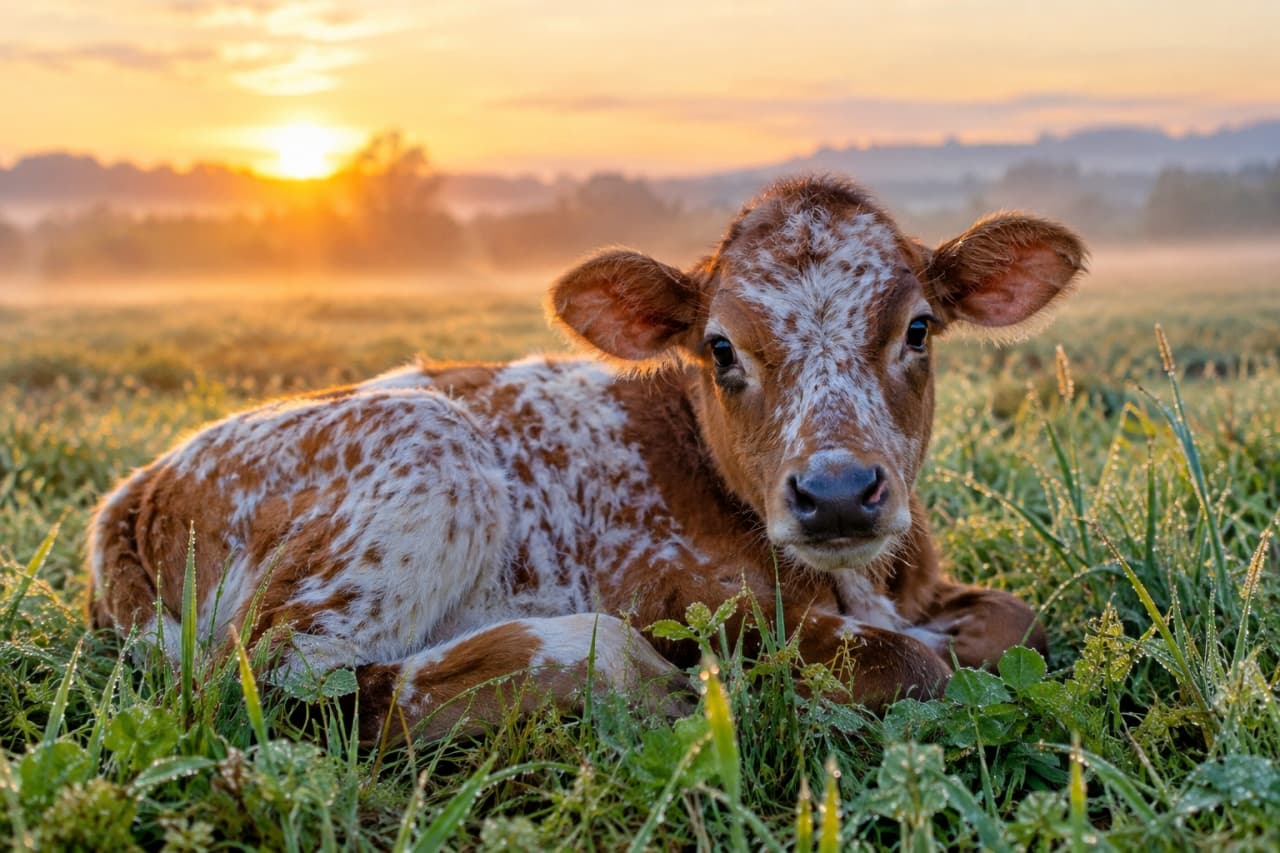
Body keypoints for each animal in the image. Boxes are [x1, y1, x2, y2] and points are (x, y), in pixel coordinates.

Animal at [88, 175, 1085, 743]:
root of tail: (135, 489)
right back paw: (605, 664)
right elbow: (909, 665)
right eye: (720, 348)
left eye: (916, 328)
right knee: (279, 685)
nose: (837, 492)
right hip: (428, 455)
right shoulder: (700, 603)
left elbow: (1020, 622)